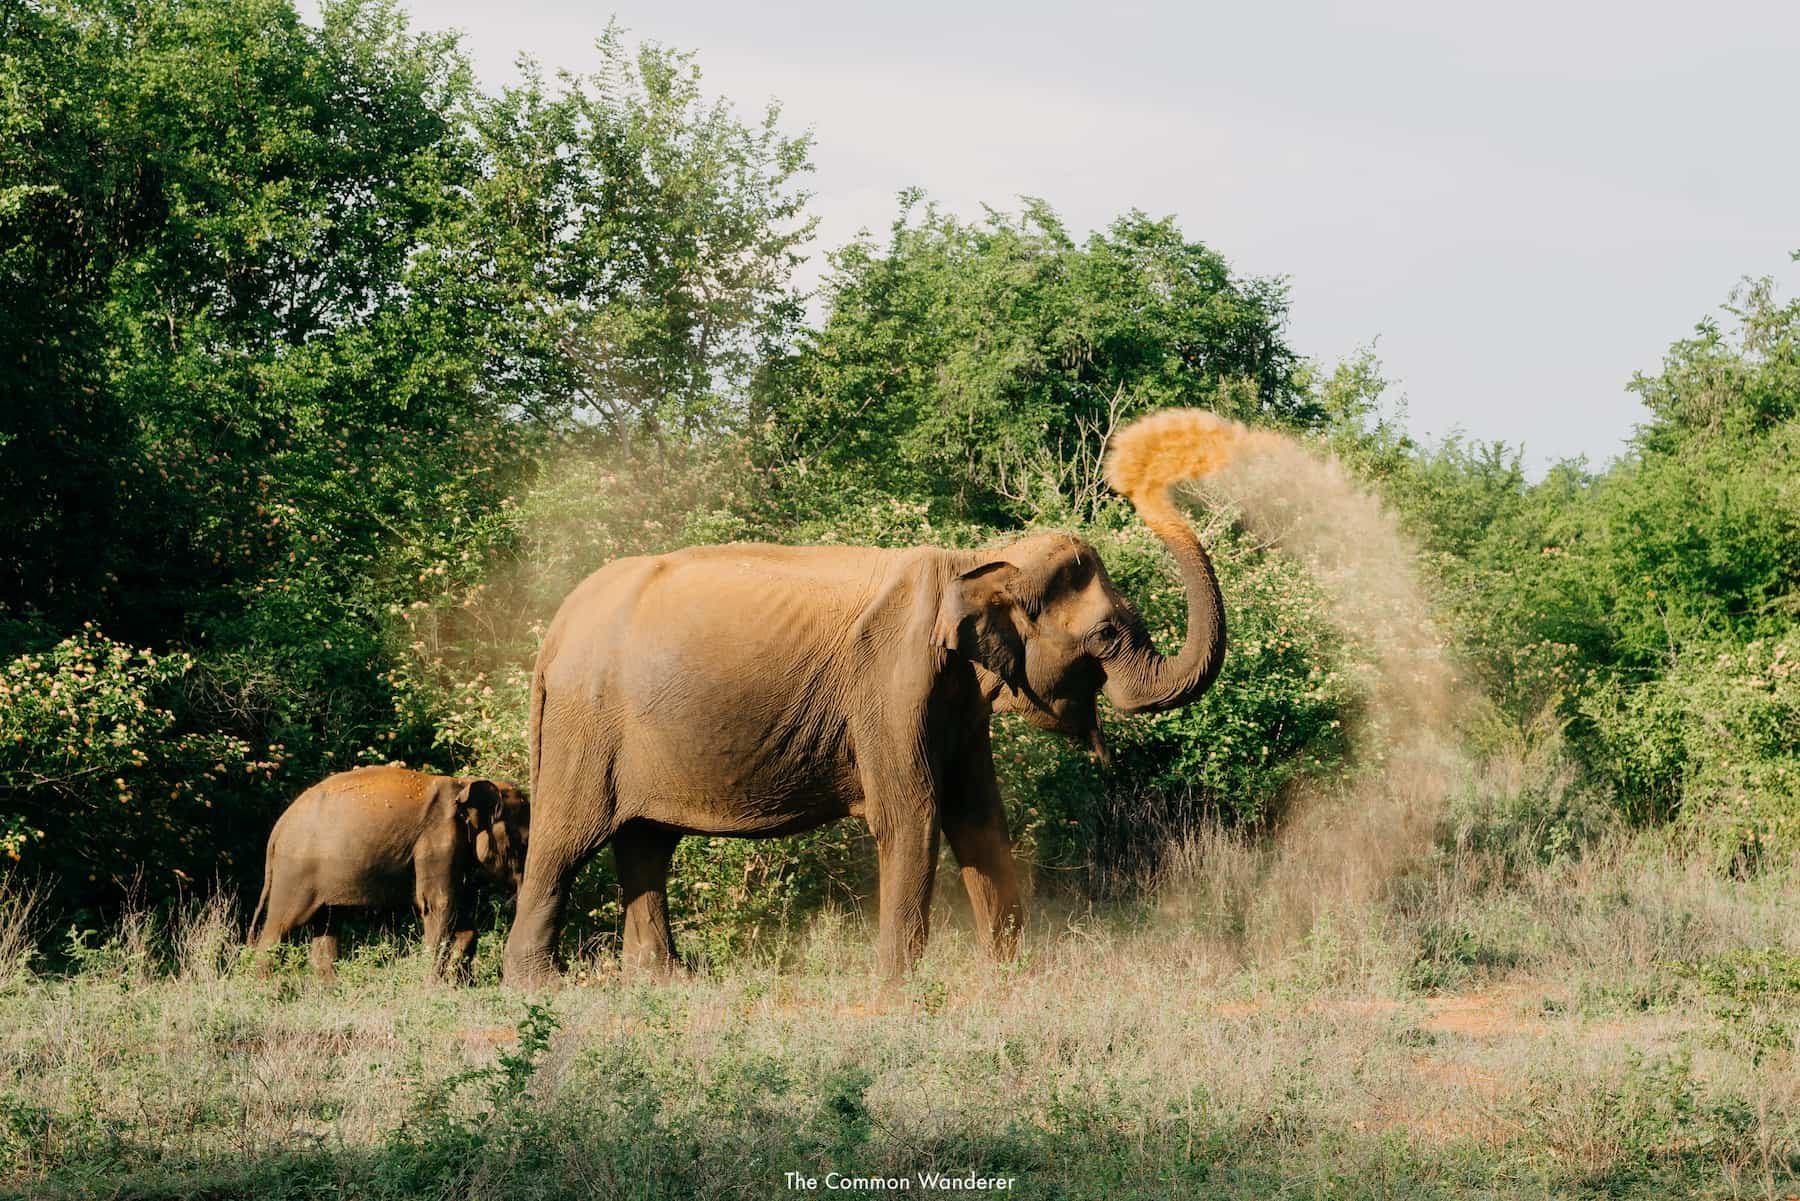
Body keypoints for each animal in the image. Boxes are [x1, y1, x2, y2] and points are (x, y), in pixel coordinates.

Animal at [250, 767, 525, 979]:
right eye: (522, 843)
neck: (464, 785)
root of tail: (277, 830)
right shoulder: (438, 840)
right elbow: (438, 904)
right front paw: (431, 988)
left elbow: (461, 911)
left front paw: (459, 986)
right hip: (295, 872)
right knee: (280, 927)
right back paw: (268, 991)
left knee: (327, 924)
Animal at [504, 414, 1238, 986]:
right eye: (1108, 632)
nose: (1145, 466)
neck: (975, 562)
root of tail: (553, 632)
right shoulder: (891, 681)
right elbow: (911, 815)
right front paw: (897, 993)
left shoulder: (956, 697)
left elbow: (979, 816)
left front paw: (1008, 981)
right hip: (584, 723)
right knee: (564, 840)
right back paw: (536, 988)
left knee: (646, 842)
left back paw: (664, 982)